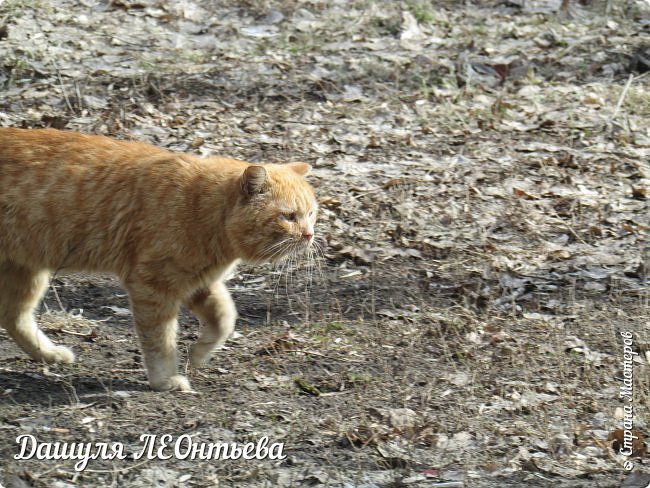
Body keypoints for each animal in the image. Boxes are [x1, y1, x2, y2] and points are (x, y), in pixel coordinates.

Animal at [0, 127, 316, 390]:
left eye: (311, 213)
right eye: (289, 217)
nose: (310, 235)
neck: (202, 208)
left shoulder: (198, 282)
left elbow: (225, 317)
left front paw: (200, 354)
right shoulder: (153, 286)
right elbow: (160, 341)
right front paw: (165, 380)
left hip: (27, 272)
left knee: (13, 316)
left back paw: (49, 354)